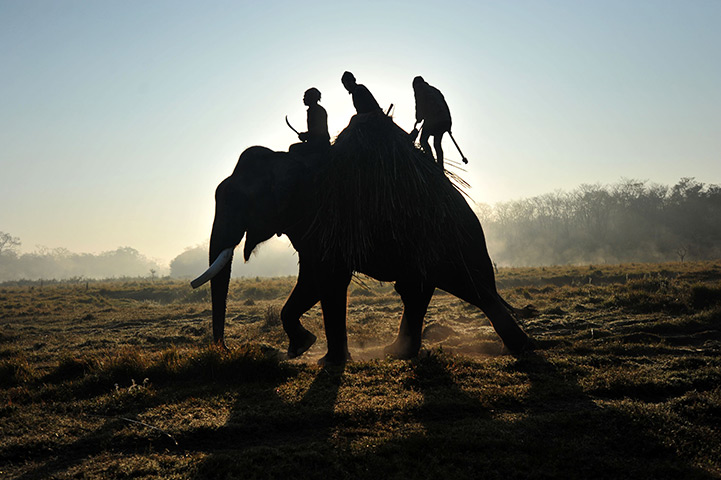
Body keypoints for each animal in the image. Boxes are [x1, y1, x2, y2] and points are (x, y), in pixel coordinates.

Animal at [191, 114, 532, 365]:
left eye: (240, 201)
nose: (226, 350)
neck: (289, 161)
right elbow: (313, 280)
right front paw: (303, 348)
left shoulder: (326, 217)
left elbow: (327, 280)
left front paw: (324, 360)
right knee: (415, 291)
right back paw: (397, 353)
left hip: (446, 241)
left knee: (473, 289)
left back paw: (519, 348)